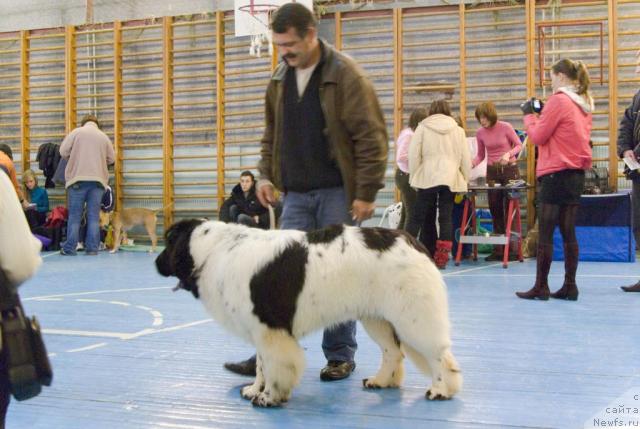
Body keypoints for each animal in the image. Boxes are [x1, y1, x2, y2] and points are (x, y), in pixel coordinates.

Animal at [158, 219, 462, 406]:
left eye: (169, 241)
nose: (156, 262)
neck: (214, 250)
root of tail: (411, 240)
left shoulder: (270, 329)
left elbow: (274, 365)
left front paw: (269, 397)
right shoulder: (259, 328)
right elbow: (261, 365)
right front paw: (254, 389)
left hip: (413, 317)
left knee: (439, 356)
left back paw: (441, 389)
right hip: (378, 317)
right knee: (393, 352)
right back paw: (381, 381)